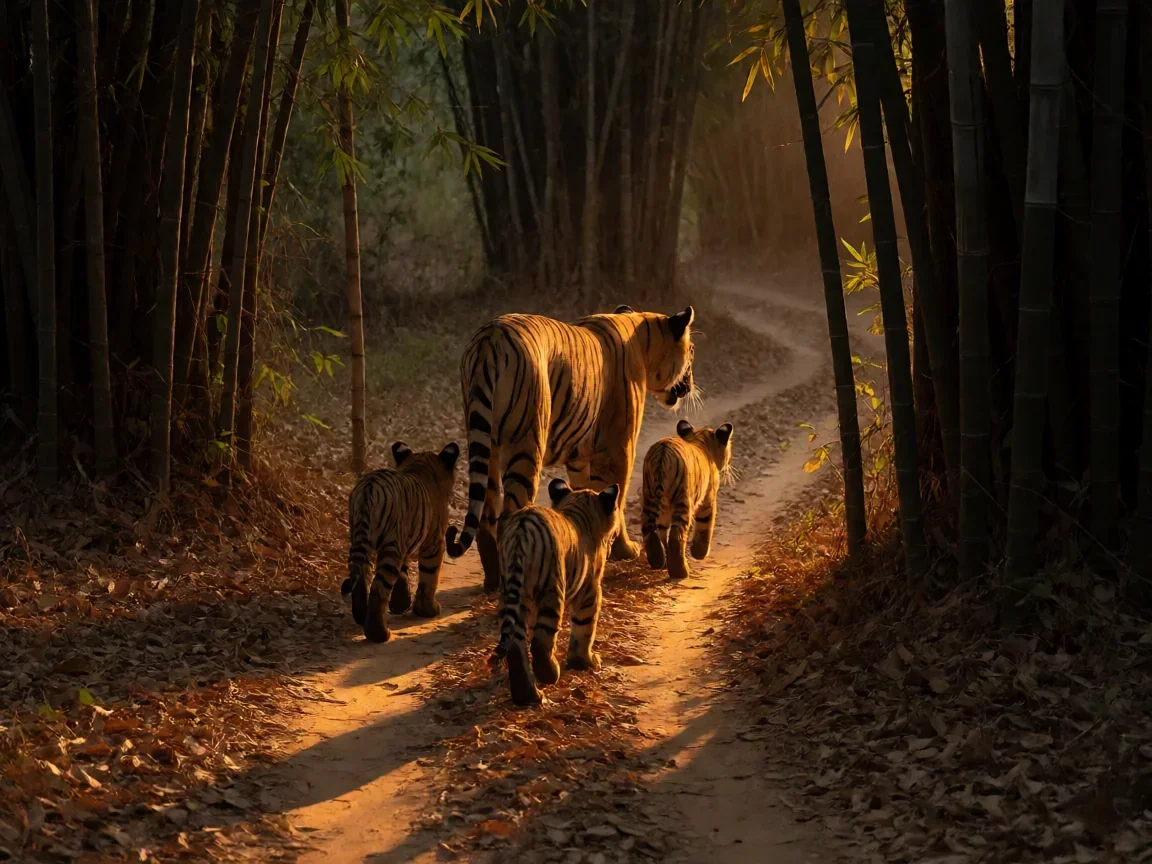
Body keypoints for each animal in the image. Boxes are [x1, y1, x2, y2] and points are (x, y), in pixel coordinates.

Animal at [341, 440, 460, 643]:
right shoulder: (433, 541)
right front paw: (427, 609)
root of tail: (368, 487)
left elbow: (403, 572)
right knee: (378, 587)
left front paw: (400, 603)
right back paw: (379, 634)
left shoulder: (407, 538)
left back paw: (361, 616)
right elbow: (430, 574)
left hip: (360, 537)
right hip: (390, 542)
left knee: (361, 575)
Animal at [445, 304, 697, 592]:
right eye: (692, 351)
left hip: (487, 446)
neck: (643, 339)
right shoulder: (620, 449)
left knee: (486, 517)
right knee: (508, 517)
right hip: (526, 444)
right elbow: (617, 500)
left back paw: (492, 580)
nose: (690, 385)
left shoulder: (580, 458)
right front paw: (624, 550)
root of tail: (490, 337)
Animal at [490, 478, 621, 706]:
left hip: (514, 592)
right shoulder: (590, 590)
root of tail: (521, 527)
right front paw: (585, 662)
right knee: (540, 642)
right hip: (552, 589)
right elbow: (584, 629)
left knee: (516, 644)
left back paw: (528, 696)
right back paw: (551, 674)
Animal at [640, 419, 734, 580]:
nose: (729, 462)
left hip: (650, 496)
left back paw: (658, 561)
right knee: (676, 535)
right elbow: (705, 526)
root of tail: (662, 451)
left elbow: (662, 530)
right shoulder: (708, 499)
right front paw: (699, 553)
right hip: (683, 500)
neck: (700, 439)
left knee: (650, 528)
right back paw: (681, 571)